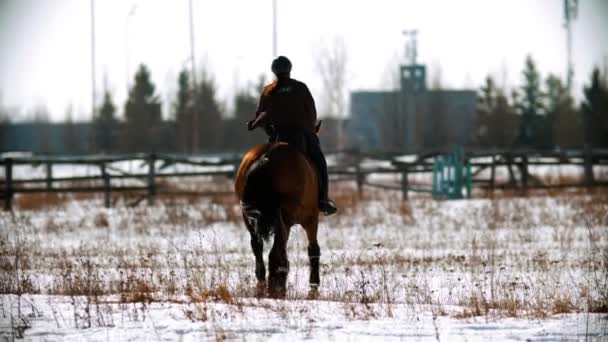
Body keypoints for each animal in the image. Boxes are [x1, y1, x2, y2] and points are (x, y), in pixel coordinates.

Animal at [234, 135, 324, 298]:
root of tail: (266, 157)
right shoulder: (310, 219)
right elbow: (313, 250)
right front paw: (313, 287)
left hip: (248, 217)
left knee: (257, 246)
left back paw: (263, 285)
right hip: (286, 218)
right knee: (276, 251)